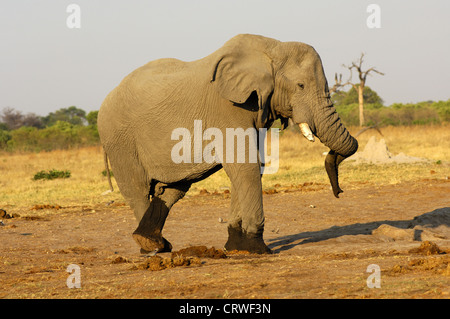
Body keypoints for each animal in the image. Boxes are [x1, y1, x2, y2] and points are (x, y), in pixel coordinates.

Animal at [98, 34, 358, 255]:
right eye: (301, 85)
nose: (339, 192)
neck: (272, 48)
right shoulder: (228, 107)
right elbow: (245, 165)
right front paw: (258, 249)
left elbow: (252, 166)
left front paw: (235, 247)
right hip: (119, 139)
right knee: (138, 189)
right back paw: (151, 247)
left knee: (173, 189)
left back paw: (154, 241)